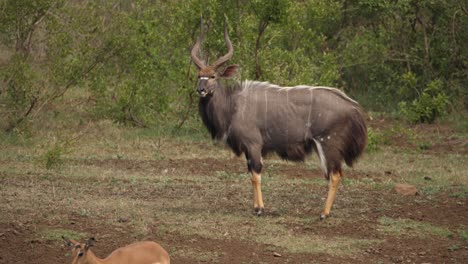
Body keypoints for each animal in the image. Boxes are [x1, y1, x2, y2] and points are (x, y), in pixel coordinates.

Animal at [190, 20, 366, 219]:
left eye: (213, 76)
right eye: (199, 76)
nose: (201, 90)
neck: (232, 105)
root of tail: (352, 107)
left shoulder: (253, 144)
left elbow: (256, 174)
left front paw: (260, 209)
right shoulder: (247, 149)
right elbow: (250, 173)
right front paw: (255, 207)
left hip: (329, 143)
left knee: (334, 175)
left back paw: (324, 213)